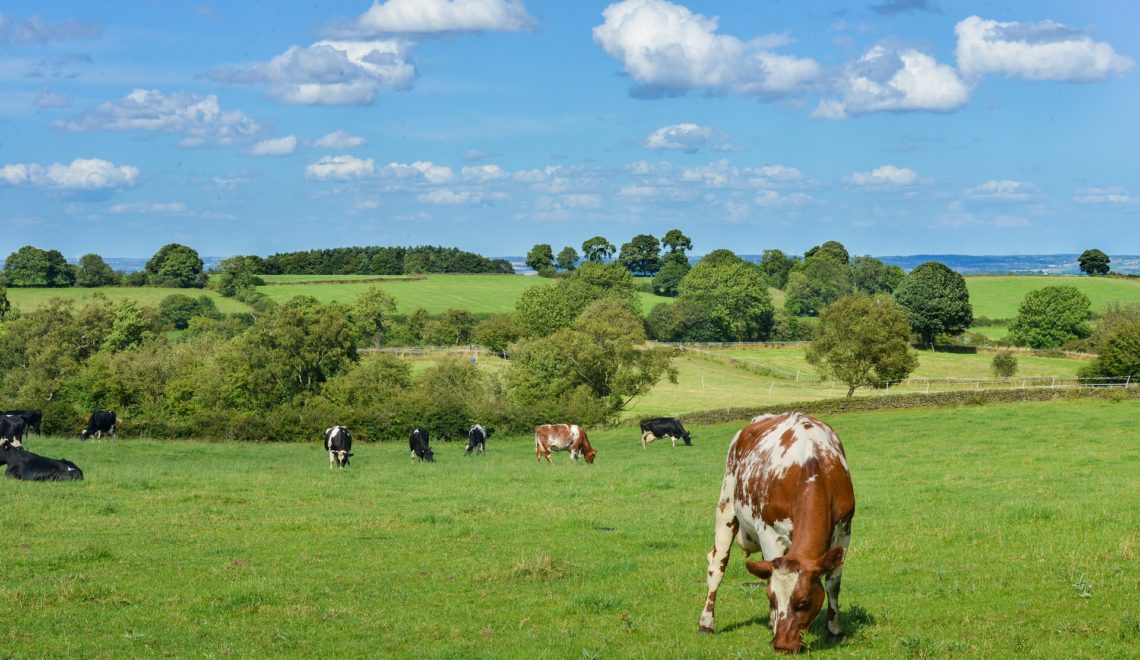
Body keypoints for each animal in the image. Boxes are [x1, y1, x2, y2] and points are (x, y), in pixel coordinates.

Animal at [693, 412, 857, 656]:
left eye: (804, 602)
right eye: (771, 597)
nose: (783, 646)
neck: (812, 464)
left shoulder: (845, 532)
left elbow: (833, 584)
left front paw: (835, 630)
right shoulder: (770, 534)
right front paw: (773, 623)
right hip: (726, 507)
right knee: (717, 565)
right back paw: (706, 622)